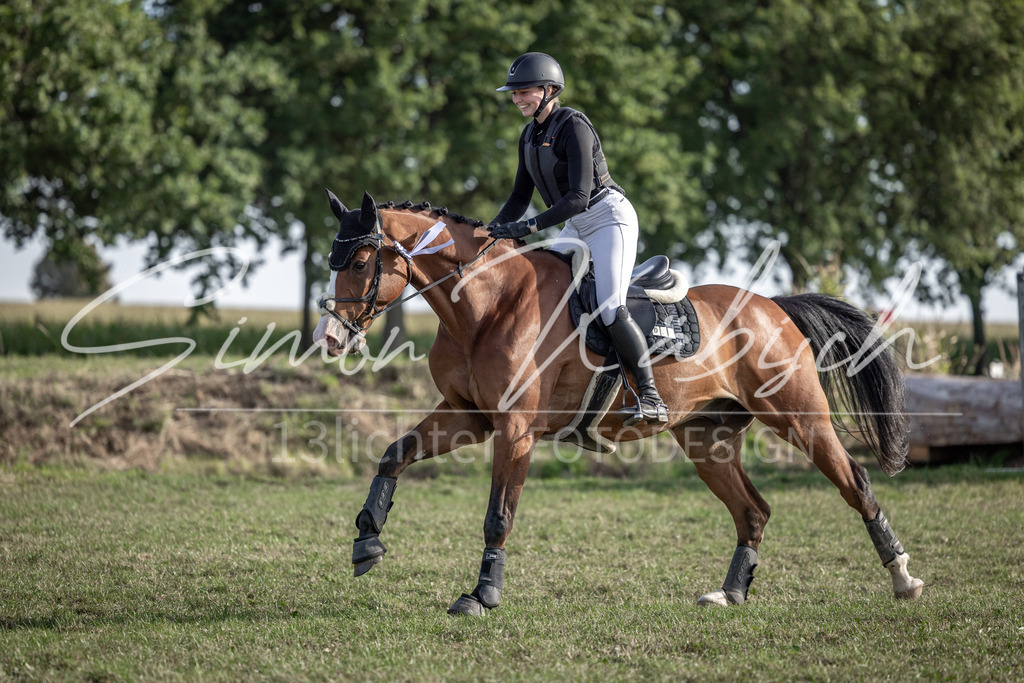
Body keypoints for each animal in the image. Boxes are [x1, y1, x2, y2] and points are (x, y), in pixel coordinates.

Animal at [314, 190, 924, 615]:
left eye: (361, 263)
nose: (331, 339)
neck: (485, 304)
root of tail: (773, 306)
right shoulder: (467, 416)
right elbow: (394, 454)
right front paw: (367, 540)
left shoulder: (515, 430)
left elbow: (497, 516)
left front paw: (481, 596)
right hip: (707, 439)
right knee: (753, 511)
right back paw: (729, 595)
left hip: (800, 418)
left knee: (856, 484)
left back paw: (903, 578)